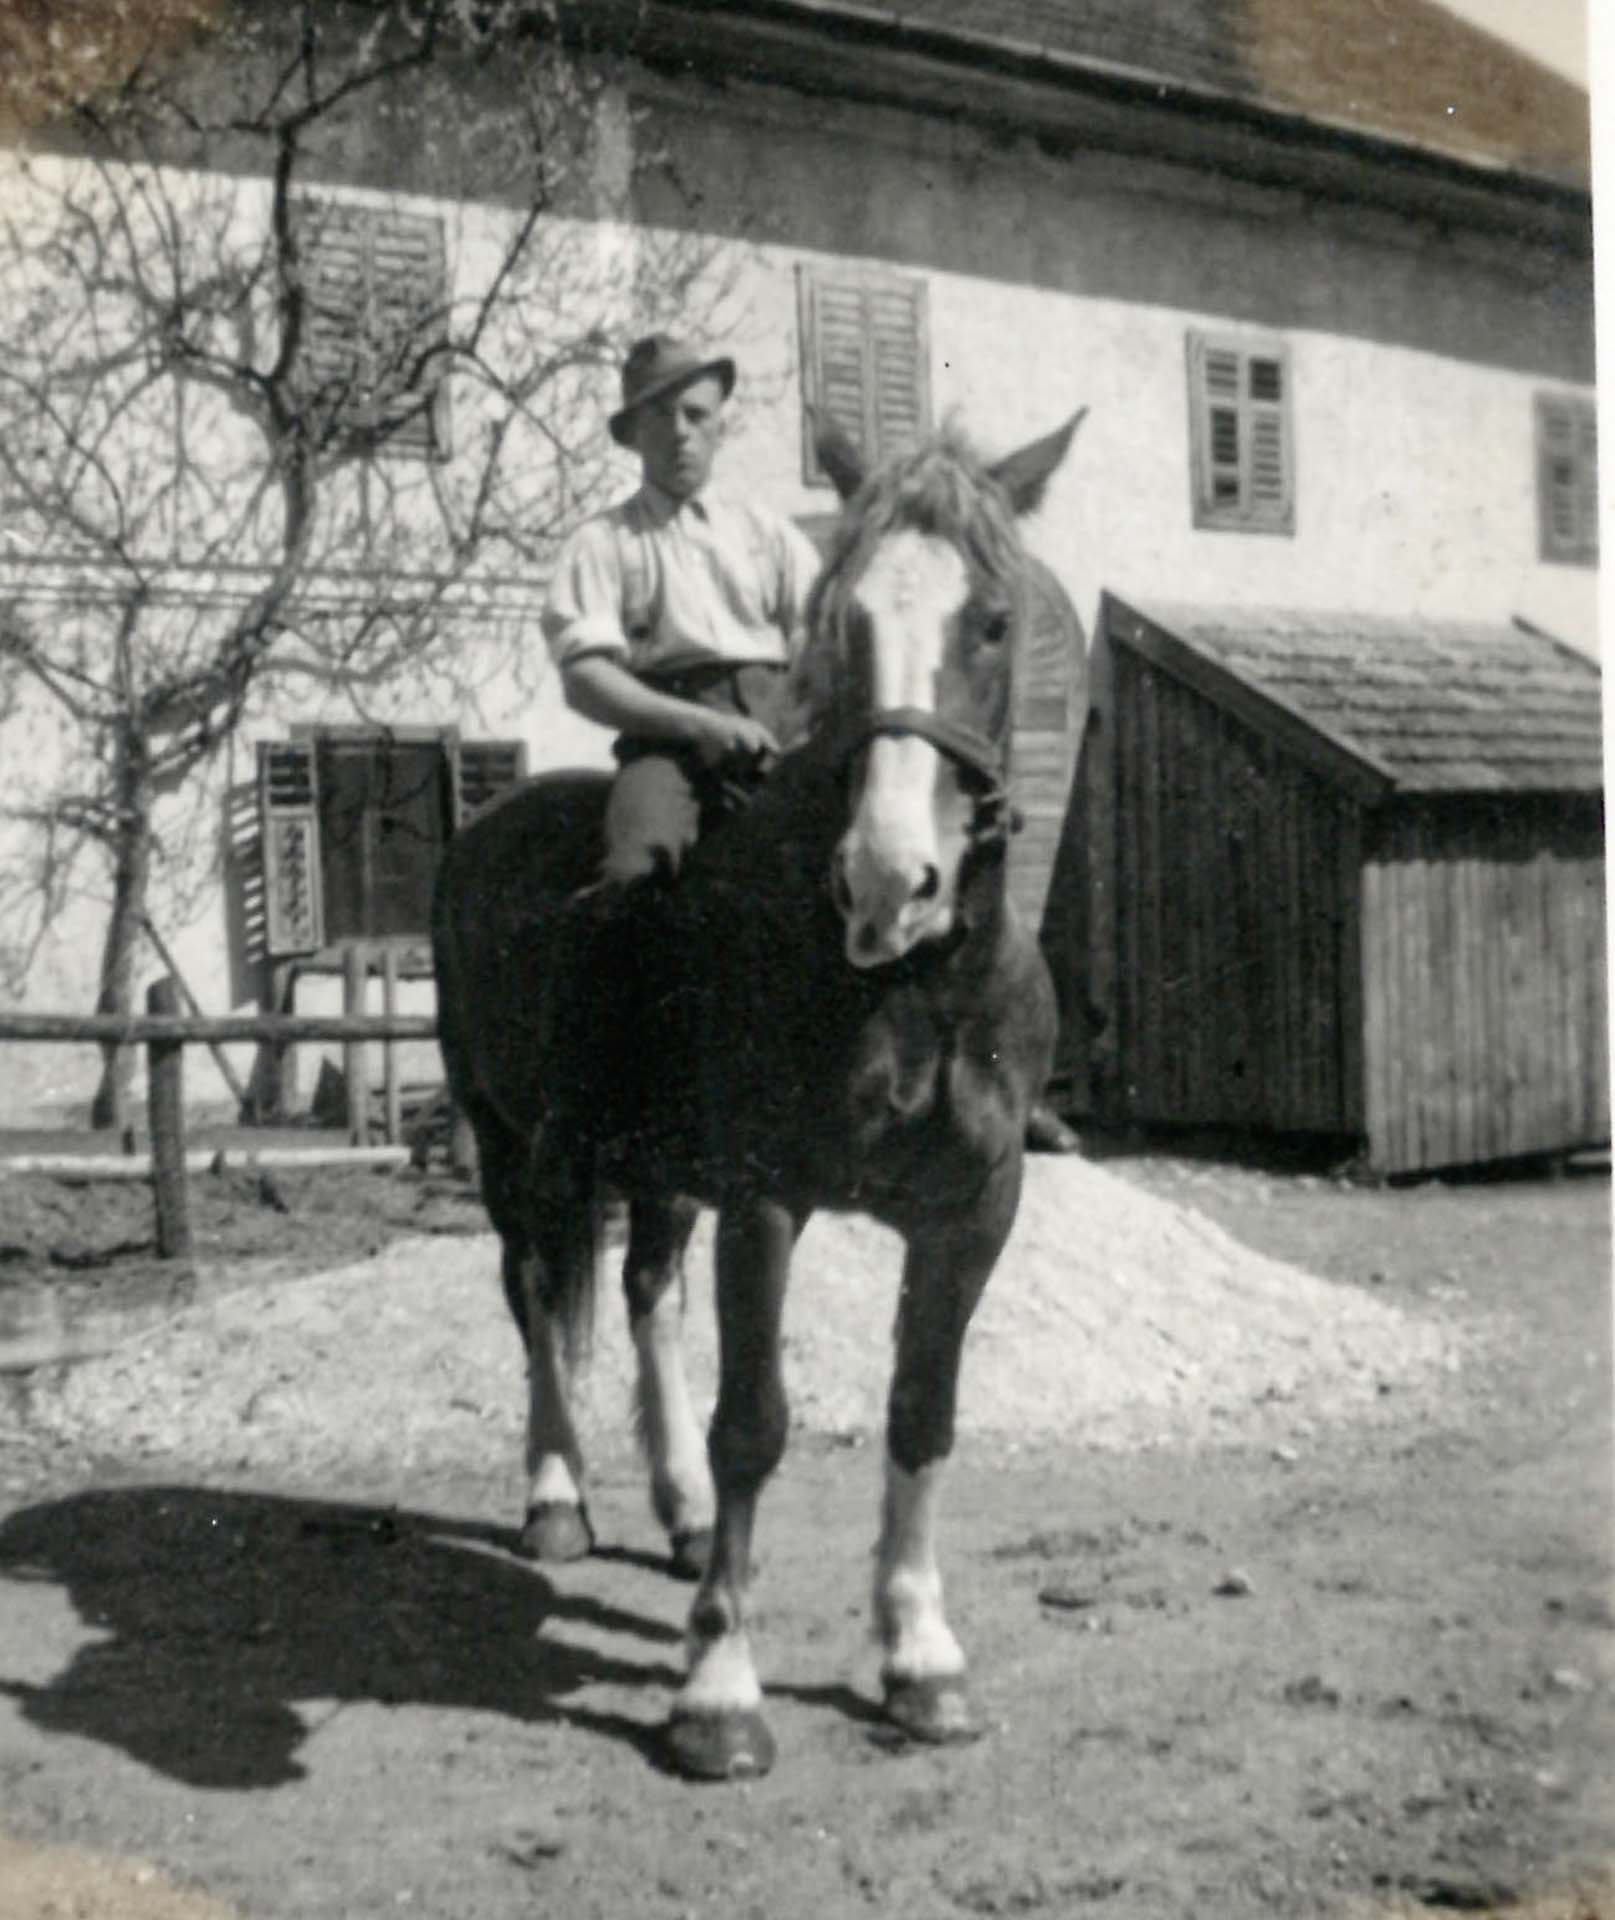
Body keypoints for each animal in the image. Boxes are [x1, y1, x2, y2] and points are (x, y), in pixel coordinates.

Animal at [431, 405, 1085, 1780]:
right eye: (844, 621)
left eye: (993, 622)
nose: (892, 881)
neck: (908, 986)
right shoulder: (768, 1201)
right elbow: (756, 1423)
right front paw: (719, 1689)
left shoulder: (971, 1212)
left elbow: (921, 1410)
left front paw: (918, 1656)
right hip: (515, 1152)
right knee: (536, 1298)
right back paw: (556, 1495)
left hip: (662, 1177)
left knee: (642, 1294)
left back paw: (677, 1512)